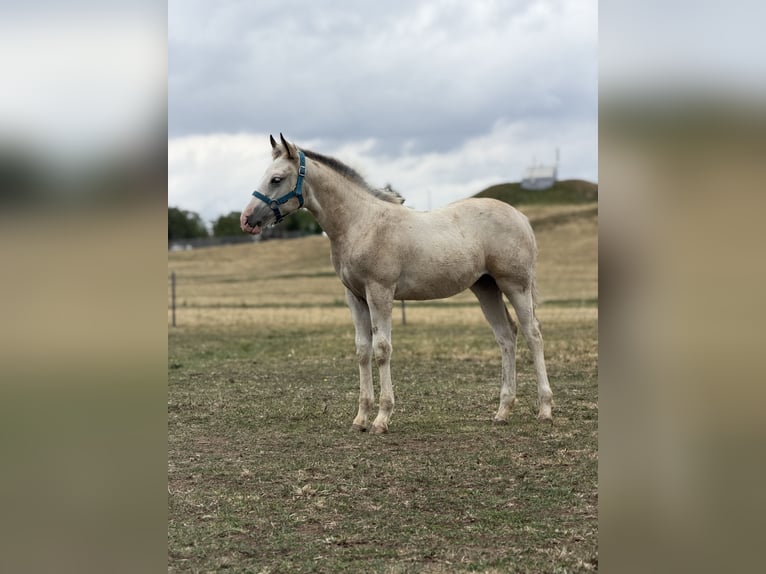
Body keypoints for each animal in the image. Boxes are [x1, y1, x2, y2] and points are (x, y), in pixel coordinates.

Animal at [241, 134, 553, 434]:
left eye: (276, 178)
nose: (246, 220)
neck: (360, 223)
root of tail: (520, 216)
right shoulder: (355, 297)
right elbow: (363, 350)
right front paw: (360, 418)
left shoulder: (380, 292)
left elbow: (382, 349)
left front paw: (381, 419)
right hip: (486, 288)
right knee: (506, 336)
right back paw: (502, 412)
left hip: (515, 286)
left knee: (533, 334)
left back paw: (545, 410)